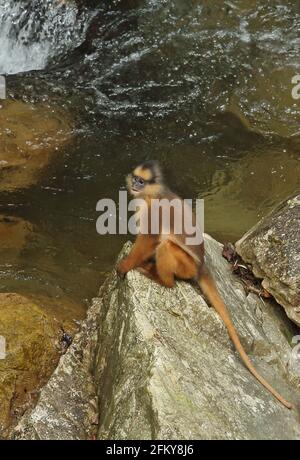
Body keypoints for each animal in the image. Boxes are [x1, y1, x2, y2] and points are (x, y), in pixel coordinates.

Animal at [116, 161, 292, 410]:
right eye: (135, 179)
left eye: (142, 181)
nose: (135, 184)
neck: (152, 194)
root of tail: (201, 268)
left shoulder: (153, 211)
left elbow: (149, 240)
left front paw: (124, 266)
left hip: (185, 265)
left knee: (165, 247)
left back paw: (161, 279)